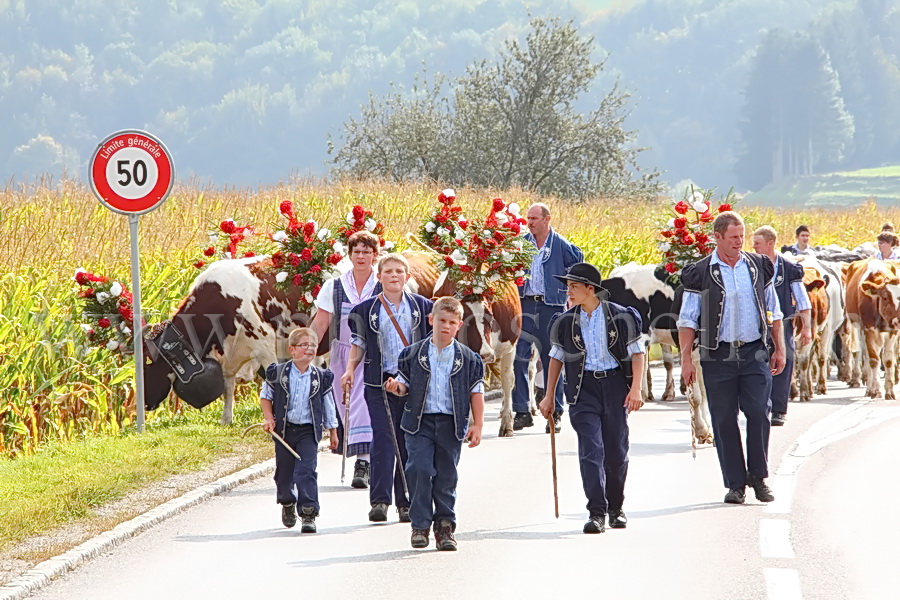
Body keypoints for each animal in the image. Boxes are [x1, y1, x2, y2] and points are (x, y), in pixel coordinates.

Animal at [404, 248, 524, 436]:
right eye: (464, 319)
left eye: (490, 315)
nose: (486, 354)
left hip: (510, 347)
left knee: (507, 380)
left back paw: (506, 423)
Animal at [844, 256, 900, 398]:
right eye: (885, 297)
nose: (898, 321)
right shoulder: (868, 329)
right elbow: (873, 359)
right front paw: (875, 391)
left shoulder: (892, 331)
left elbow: (888, 359)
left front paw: (889, 391)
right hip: (856, 327)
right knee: (864, 355)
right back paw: (867, 386)